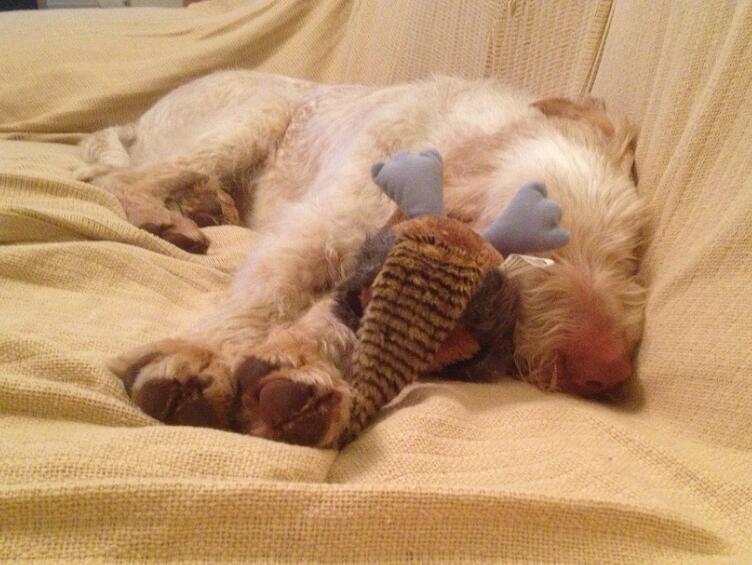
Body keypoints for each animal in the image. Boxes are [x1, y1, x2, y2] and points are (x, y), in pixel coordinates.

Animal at [76, 71, 647, 447]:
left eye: (629, 254)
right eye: (535, 252)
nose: (607, 373)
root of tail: (139, 120)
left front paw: (302, 364)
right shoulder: (312, 233)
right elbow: (266, 293)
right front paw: (202, 355)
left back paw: (202, 205)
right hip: (254, 116)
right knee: (120, 177)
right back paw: (162, 216)